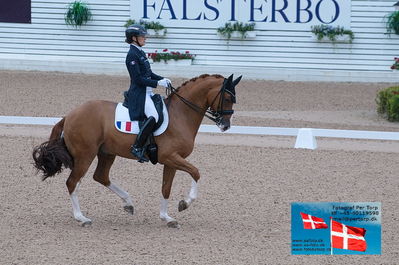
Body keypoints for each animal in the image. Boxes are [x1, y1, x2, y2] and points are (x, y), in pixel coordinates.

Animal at [32, 73, 241, 226]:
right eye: (227, 97)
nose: (225, 126)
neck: (181, 114)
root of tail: (70, 115)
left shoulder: (171, 160)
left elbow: (166, 188)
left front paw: (167, 218)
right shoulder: (170, 157)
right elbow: (196, 172)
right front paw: (184, 203)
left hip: (106, 153)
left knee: (101, 176)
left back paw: (128, 203)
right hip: (86, 155)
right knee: (72, 182)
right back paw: (81, 218)